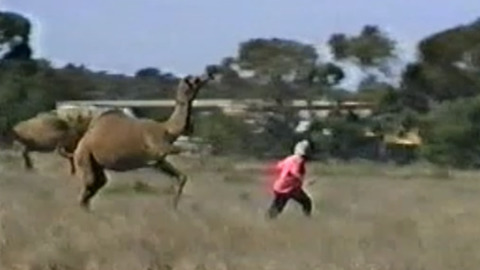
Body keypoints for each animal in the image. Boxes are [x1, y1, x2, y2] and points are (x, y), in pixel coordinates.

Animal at [72, 72, 215, 211]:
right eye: (196, 80)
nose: (209, 75)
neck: (166, 129)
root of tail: (80, 143)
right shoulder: (158, 147)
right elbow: (188, 149)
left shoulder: (158, 161)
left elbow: (182, 177)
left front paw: (174, 207)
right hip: (84, 155)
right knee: (90, 183)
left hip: (95, 163)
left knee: (98, 184)